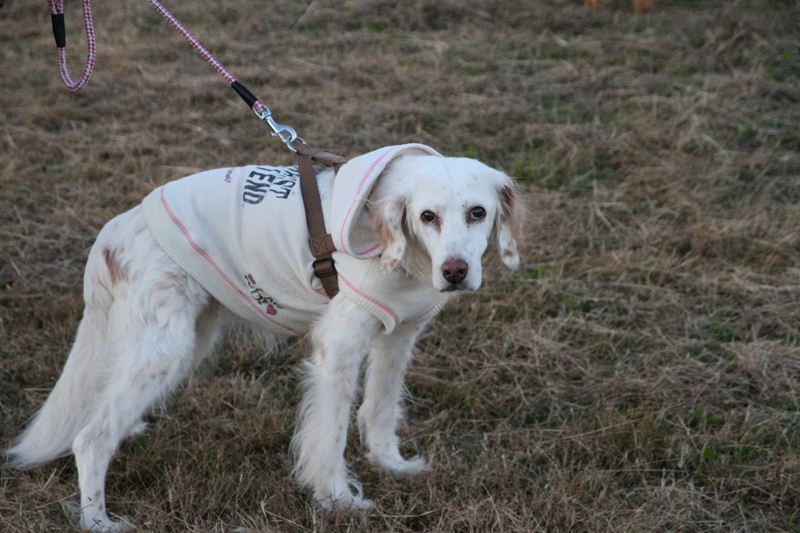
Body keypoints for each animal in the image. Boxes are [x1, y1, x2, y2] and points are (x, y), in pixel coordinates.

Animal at [7, 144, 525, 531]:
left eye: (478, 213)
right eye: (427, 216)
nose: (455, 271)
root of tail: (115, 230)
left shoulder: (398, 337)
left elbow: (379, 411)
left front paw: (391, 465)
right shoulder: (338, 348)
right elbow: (330, 436)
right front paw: (338, 500)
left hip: (181, 341)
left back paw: (129, 431)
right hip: (166, 349)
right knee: (90, 437)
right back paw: (98, 520)